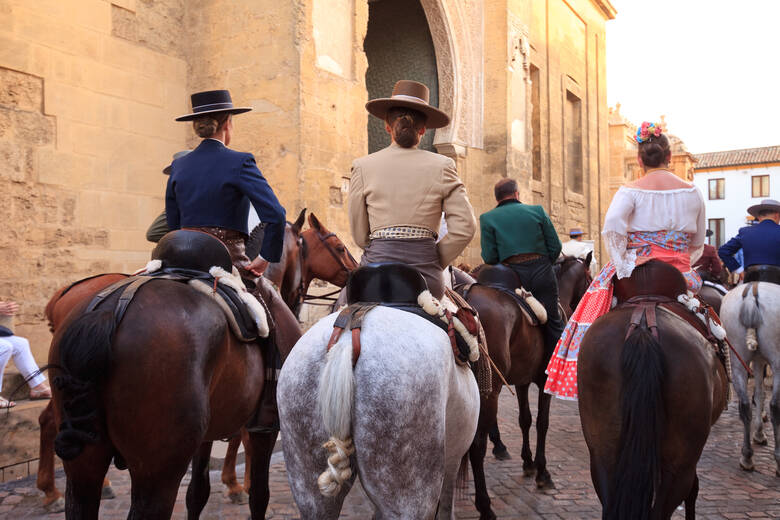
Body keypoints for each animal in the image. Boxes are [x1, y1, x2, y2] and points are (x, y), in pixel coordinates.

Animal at [720, 282, 780, 478]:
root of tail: (752, 293)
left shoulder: (758, 360)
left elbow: (759, 395)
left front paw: (759, 432)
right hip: (777, 362)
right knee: (775, 407)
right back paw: (778, 459)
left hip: (738, 361)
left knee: (745, 405)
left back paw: (746, 457)